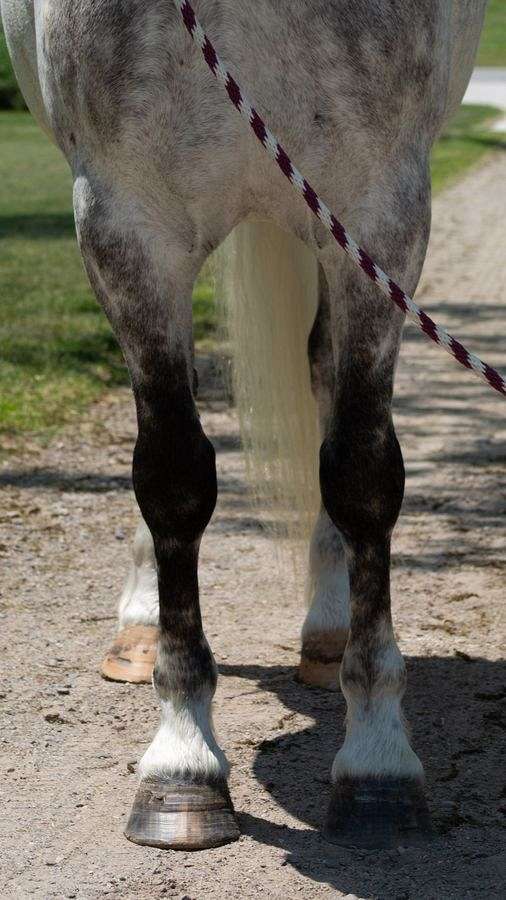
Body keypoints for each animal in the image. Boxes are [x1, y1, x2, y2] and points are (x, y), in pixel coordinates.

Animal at [1, 0, 488, 852]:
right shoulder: (127, 227)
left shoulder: (379, 216)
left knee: (323, 374)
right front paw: (182, 763)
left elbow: (361, 476)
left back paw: (327, 627)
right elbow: (172, 476)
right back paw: (140, 623)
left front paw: (378, 761)